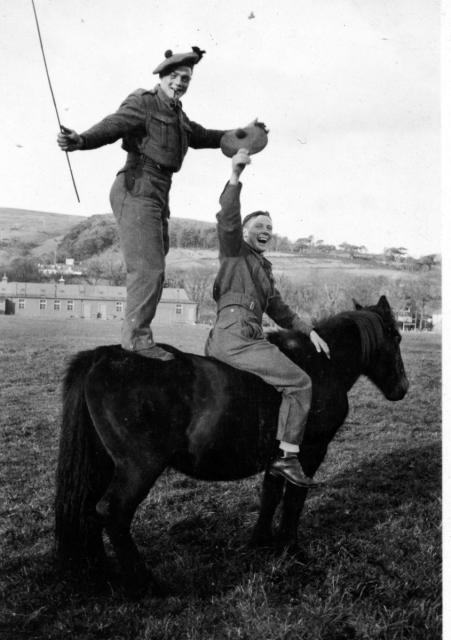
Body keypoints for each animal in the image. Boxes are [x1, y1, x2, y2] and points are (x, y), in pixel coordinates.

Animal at [53, 298, 410, 592]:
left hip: (102, 463)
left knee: (88, 510)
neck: (321, 364)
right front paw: (291, 547)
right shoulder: (311, 453)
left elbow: (271, 495)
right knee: (112, 512)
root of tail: (106, 356)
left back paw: (102, 573)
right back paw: (146, 583)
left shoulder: (279, 458)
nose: (403, 388)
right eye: (395, 337)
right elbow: (294, 500)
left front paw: (261, 542)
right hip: (138, 468)